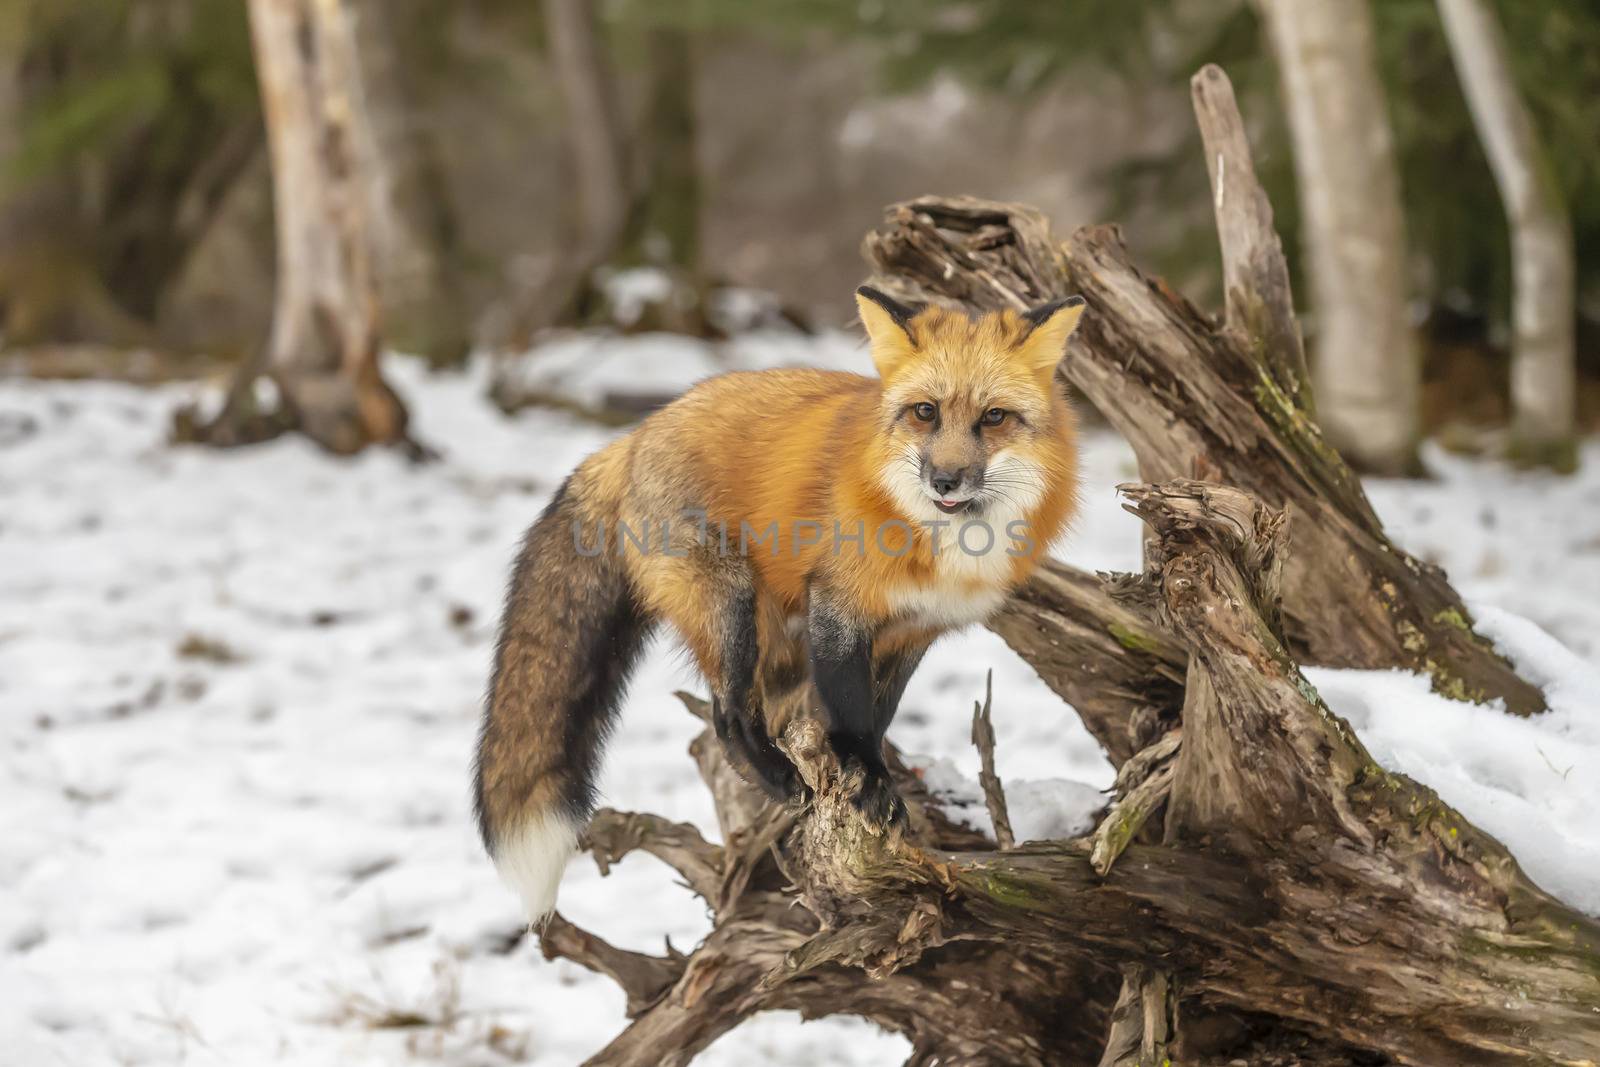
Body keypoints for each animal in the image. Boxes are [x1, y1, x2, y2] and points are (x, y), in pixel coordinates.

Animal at [467, 287, 1081, 921]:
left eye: (994, 417)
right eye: (925, 412)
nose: (945, 480)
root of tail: (633, 437)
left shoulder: (915, 629)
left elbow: (879, 711)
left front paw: (869, 777)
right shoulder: (837, 604)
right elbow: (850, 714)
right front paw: (868, 781)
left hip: (777, 641)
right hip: (732, 608)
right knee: (727, 716)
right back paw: (778, 777)